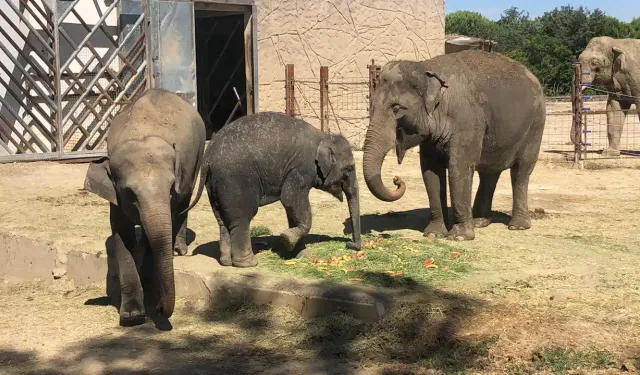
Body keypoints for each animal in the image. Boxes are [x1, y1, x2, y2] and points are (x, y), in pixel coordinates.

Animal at [84, 88, 205, 326]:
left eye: (170, 188)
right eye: (130, 193)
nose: (159, 308)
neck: (140, 134)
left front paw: (149, 289)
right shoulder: (116, 198)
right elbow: (123, 235)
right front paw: (132, 316)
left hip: (197, 155)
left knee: (185, 199)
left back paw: (178, 249)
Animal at [185, 111, 362, 268]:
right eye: (349, 168)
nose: (350, 244)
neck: (323, 135)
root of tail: (207, 158)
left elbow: (292, 207)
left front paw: (300, 254)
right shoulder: (302, 168)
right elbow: (290, 199)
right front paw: (286, 238)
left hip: (213, 184)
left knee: (222, 220)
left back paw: (226, 262)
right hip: (233, 181)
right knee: (242, 218)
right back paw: (248, 263)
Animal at [362, 50, 548, 241]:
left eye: (397, 108)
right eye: (371, 106)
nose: (396, 179)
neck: (425, 66)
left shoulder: (467, 121)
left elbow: (459, 168)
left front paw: (459, 237)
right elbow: (430, 171)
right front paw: (434, 234)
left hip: (535, 127)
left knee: (521, 172)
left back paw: (517, 226)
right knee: (489, 173)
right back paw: (479, 222)